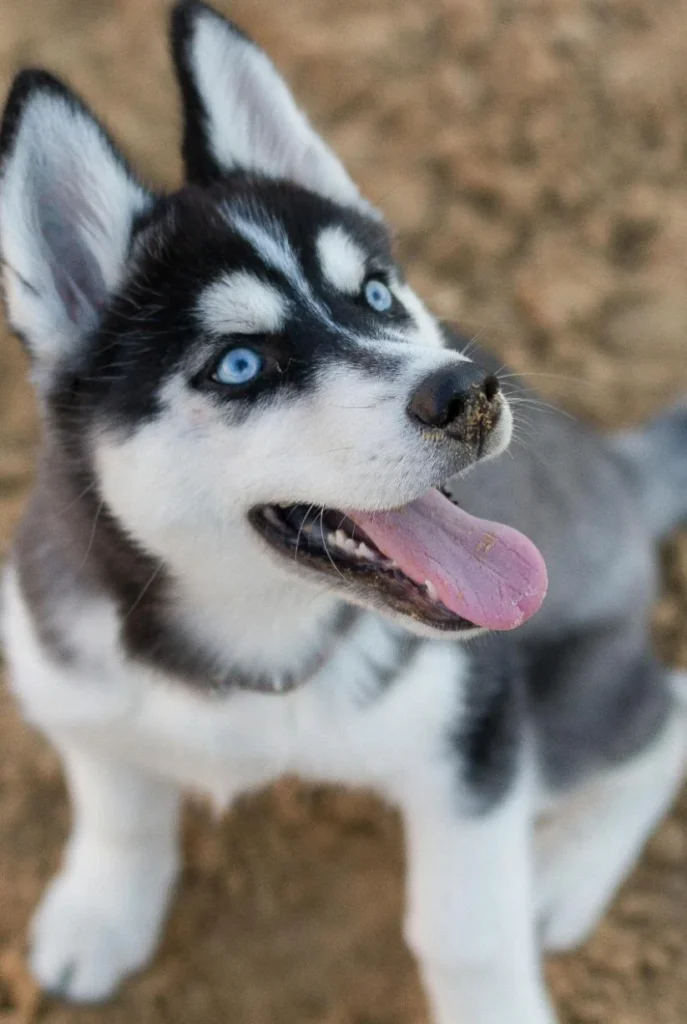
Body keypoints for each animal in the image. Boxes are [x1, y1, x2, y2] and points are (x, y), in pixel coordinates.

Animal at [1, 4, 687, 1019]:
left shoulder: (472, 737)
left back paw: (564, 868)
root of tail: (615, 467)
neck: (252, 637)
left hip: (563, 708)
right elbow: (116, 798)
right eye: (238, 363)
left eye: (373, 293)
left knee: (666, 709)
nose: (468, 390)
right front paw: (100, 912)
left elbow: (464, 931)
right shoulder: (68, 677)